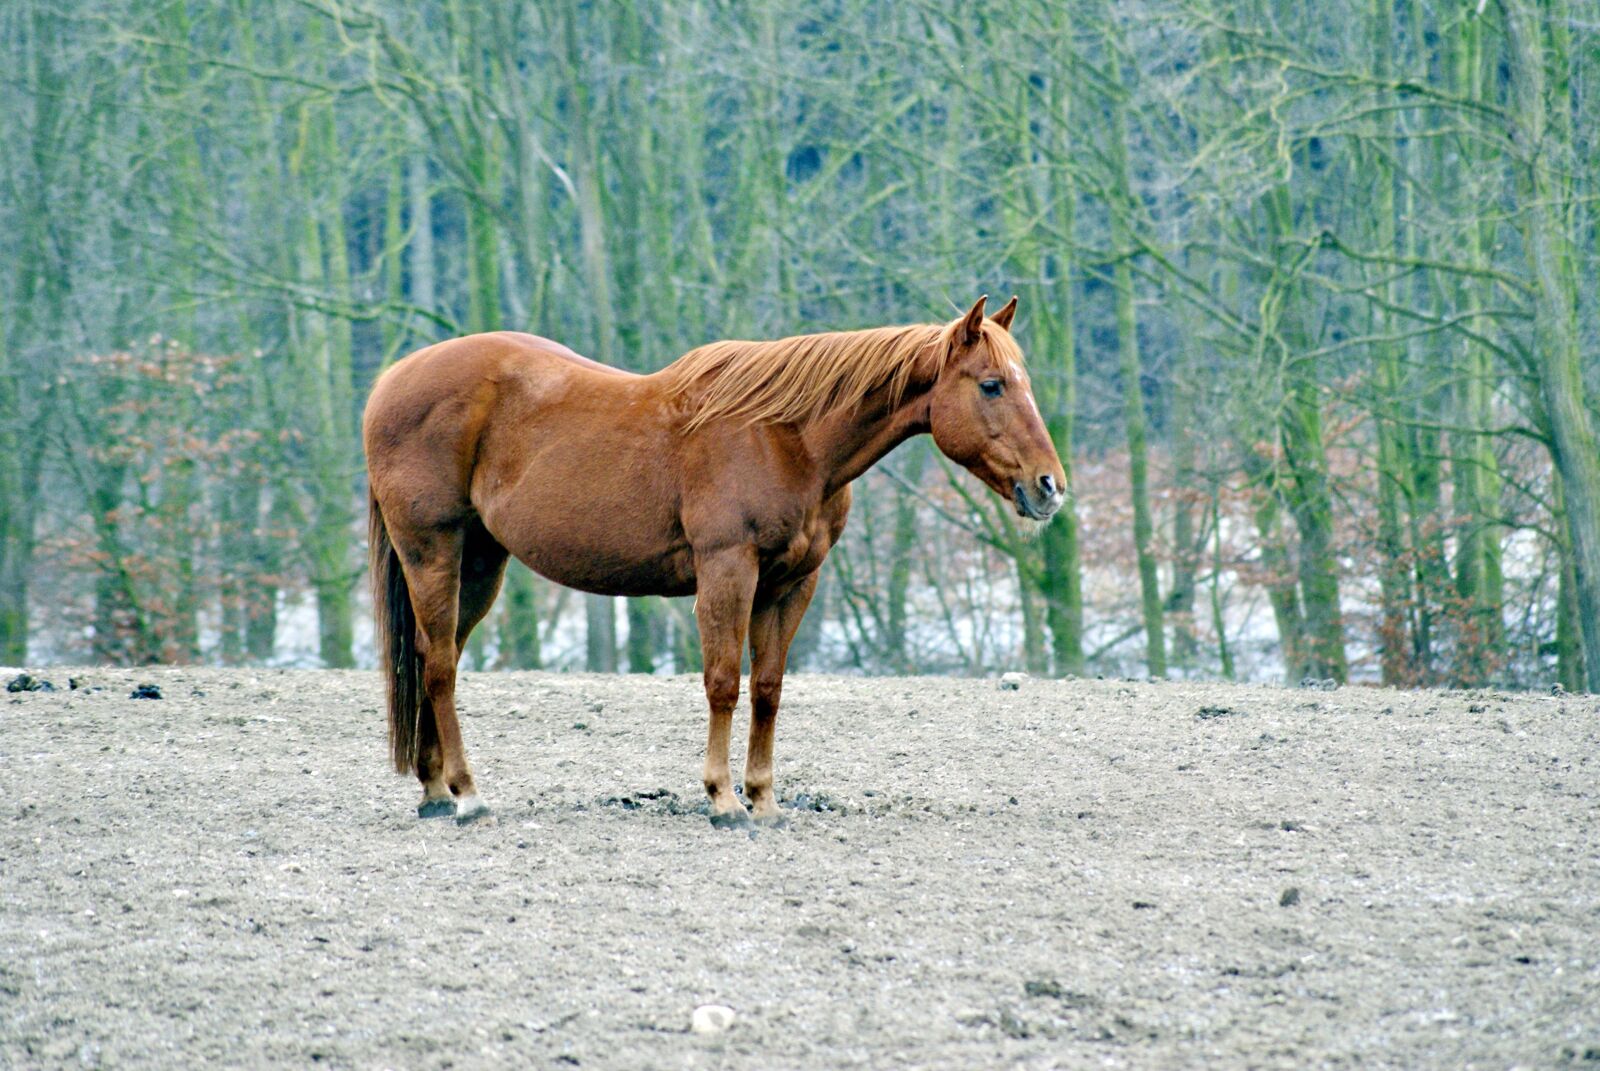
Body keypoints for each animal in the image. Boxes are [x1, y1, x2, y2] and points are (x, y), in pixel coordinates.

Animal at [364, 295, 1066, 826]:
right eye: (992, 385)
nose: (1050, 487)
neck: (786, 438)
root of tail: (390, 382)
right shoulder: (729, 570)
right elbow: (724, 682)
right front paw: (724, 801)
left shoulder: (792, 584)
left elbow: (768, 688)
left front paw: (764, 800)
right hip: (433, 550)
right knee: (441, 663)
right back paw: (467, 795)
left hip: (482, 562)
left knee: (435, 657)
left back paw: (433, 790)